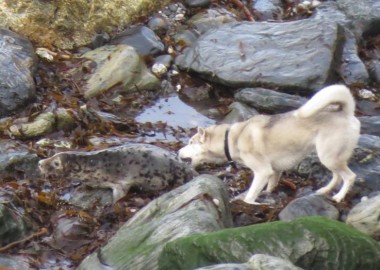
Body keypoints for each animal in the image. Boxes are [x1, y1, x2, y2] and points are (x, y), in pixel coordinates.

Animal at [180, 85, 360, 204]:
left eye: (191, 142)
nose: (179, 152)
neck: (232, 138)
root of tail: (346, 113)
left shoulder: (262, 172)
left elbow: (250, 195)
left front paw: (250, 201)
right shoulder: (275, 171)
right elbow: (269, 187)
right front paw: (267, 194)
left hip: (328, 156)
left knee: (349, 176)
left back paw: (338, 197)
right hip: (330, 157)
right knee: (337, 175)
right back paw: (325, 191)